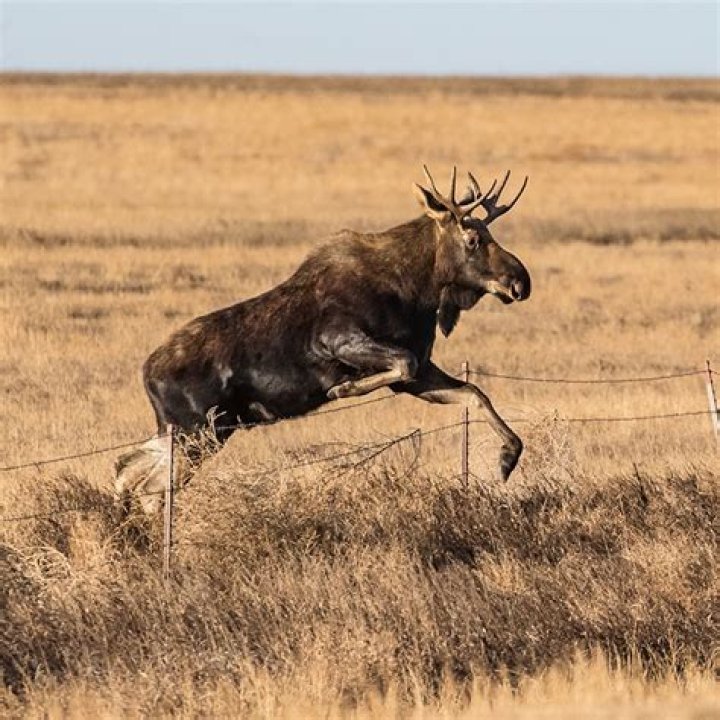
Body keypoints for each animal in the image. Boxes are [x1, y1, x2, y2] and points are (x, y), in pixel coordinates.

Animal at [116, 167, 531, 512]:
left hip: (191, 431)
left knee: (124, 467)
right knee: (150, 487)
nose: (520, 281)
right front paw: (342, 389)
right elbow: (402, 364)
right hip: (199, 431)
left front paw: (508, 456)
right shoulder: (339, 340)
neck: (418, 292)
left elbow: (474, 393)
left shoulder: (418, 375)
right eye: (473, 238)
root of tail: (146, 374)